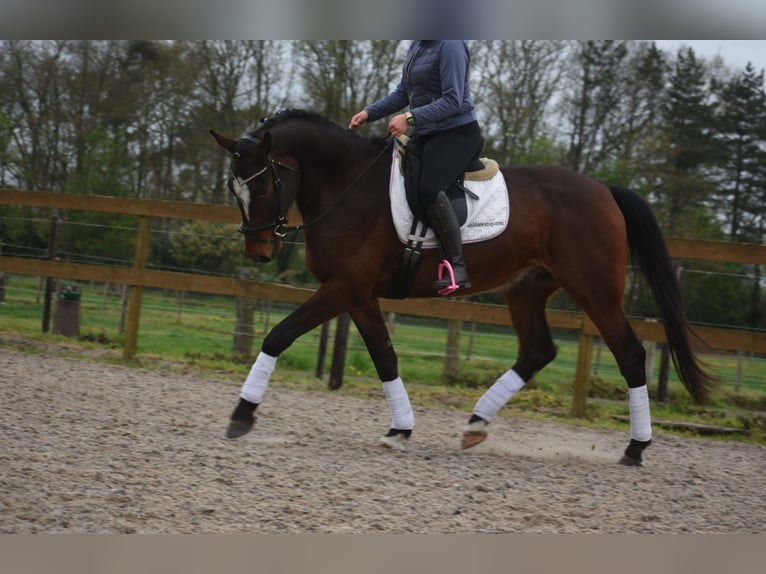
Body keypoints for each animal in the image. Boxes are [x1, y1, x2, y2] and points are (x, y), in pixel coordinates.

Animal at [210, 108, 713, 466]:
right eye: (235, 190)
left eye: (263, 187)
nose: (259, 251)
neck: (347, 187)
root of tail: (603, 189)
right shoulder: (359, 295)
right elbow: (385, 357)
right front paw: (400, 430)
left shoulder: (344, 288)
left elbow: (280, 334)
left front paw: (242, 415)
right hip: (525, 289)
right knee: (537, 350)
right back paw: (476, 424)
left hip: (596, 290)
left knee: (629, 354)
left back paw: (635, 448)